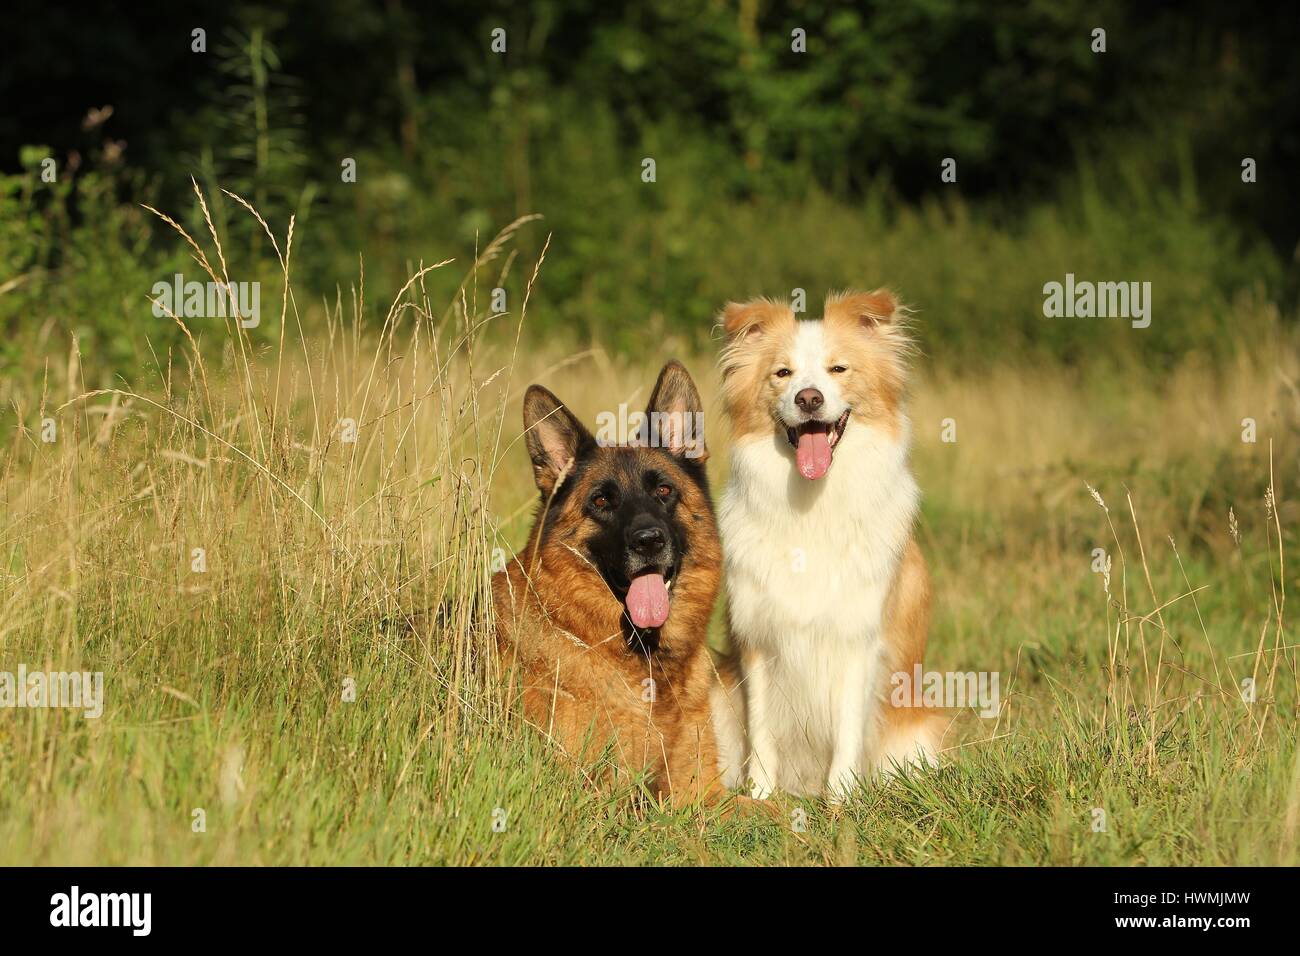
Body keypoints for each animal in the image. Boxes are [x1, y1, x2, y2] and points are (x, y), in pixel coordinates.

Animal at [712, 291, 946, 801]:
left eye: (838, 369)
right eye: (783, 373)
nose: (809, 398)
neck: (811, 505)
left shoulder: (858, 639)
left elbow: (848, 729)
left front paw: (842, 800)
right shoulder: (758, 639)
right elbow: (762, 729)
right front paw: (760, 796)